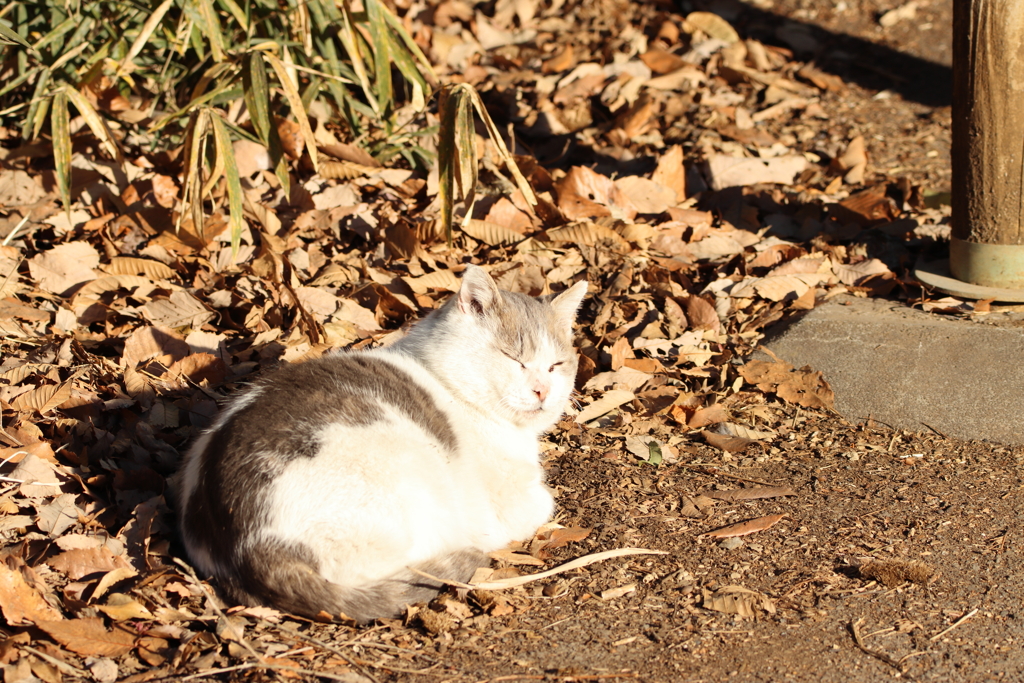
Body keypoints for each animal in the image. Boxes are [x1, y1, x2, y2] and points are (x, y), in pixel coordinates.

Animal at [178, 266, 585, 626]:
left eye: (556, 365)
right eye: (513, 359)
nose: (542, 391)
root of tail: (245, 548)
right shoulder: (512, 501)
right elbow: (543, 502)